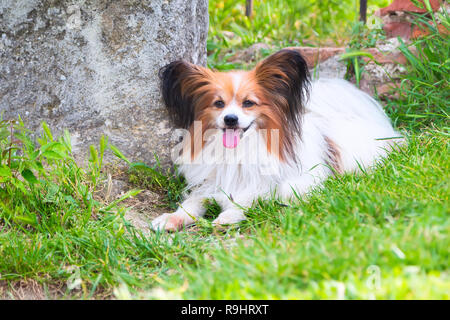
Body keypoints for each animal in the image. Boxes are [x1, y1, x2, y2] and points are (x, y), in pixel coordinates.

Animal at [151, 48, 400, 231]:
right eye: (218, 104)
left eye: (248, 103)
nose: (230, 119)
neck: (240, 149)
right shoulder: (209, 183)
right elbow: (192, 202)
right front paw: (171, 218)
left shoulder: (286, 182)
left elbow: (254, 196)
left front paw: (229, 216)